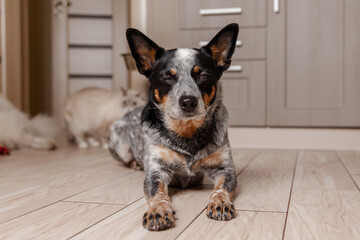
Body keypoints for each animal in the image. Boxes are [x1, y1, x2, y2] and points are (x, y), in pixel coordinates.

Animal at [108, 23, 240, 231]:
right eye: (167, 77)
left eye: (203, 75)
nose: (188, 102)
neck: (186, 132)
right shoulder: (156, 170)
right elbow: (157, 194)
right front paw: (157, 211)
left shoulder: (224, 169)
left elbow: (220, 189)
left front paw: (220, 202)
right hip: (120, 142)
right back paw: (135, 164)